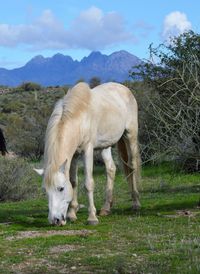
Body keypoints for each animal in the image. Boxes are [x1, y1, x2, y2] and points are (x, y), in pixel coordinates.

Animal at [34, 82, 140, 225]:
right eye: (45, 190)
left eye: (61, 188)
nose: (55, 220)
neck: (78, 117)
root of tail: (124, 88)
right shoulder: (74, 155)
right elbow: (73, 182)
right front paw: (72, 214)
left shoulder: (87, 150)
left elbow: (88, 183)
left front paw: (92, 218)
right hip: (105, 146)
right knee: (111, 169)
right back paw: (106, 208)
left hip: (130, 135)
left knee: (132, 166)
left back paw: (136, 203)